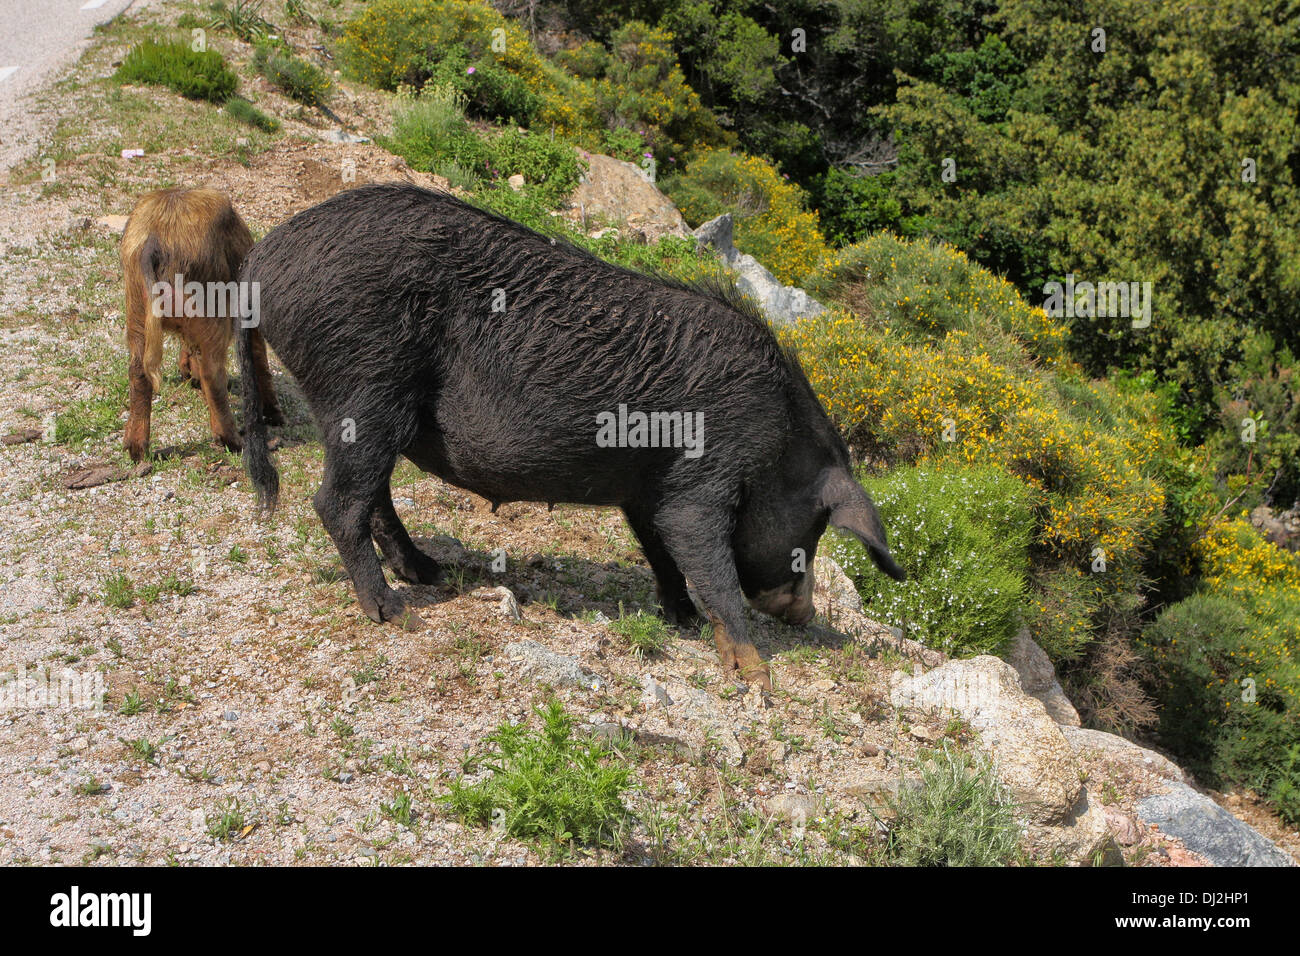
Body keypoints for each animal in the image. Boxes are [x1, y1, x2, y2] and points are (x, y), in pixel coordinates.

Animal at [239, 180, 899, 686]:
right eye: (812, 531)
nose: (804, 616)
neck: (778, 443)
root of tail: (263, 257)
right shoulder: (702, 477)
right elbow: (709, 564)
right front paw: (757, 679)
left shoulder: (647, 491)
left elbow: (661, 551)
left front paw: (680, 618)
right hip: (365, 385)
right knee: (335, 501)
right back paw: (396, 613)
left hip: (361, 408)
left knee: (372, 498)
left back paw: (430, 574)